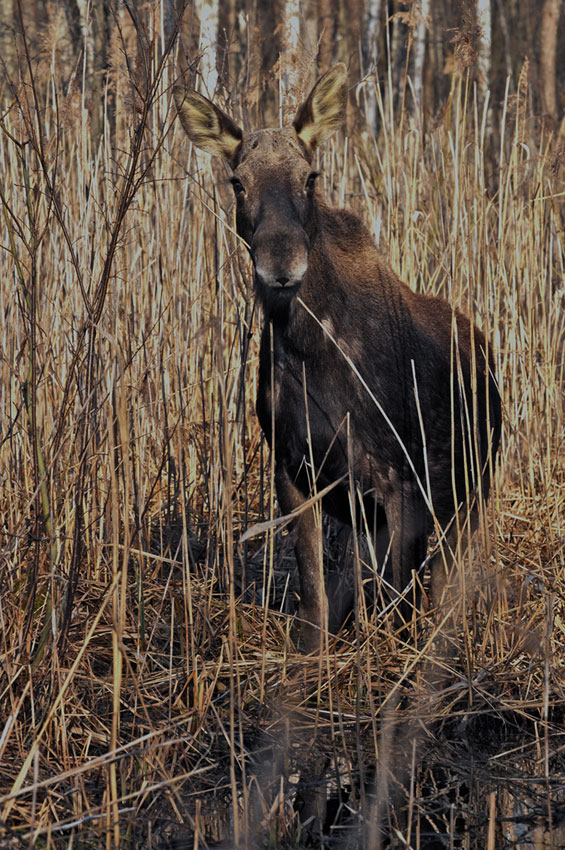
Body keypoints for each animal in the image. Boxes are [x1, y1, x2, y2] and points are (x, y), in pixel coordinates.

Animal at [174, 66, 500, 648]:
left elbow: (400, 607)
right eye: (238, 181)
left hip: (469, 487)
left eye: (310, 176)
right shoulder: (294, 470)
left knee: (441, 582)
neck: (309, 349)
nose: (281, 264)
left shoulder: (402, 480)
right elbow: (315, 594)